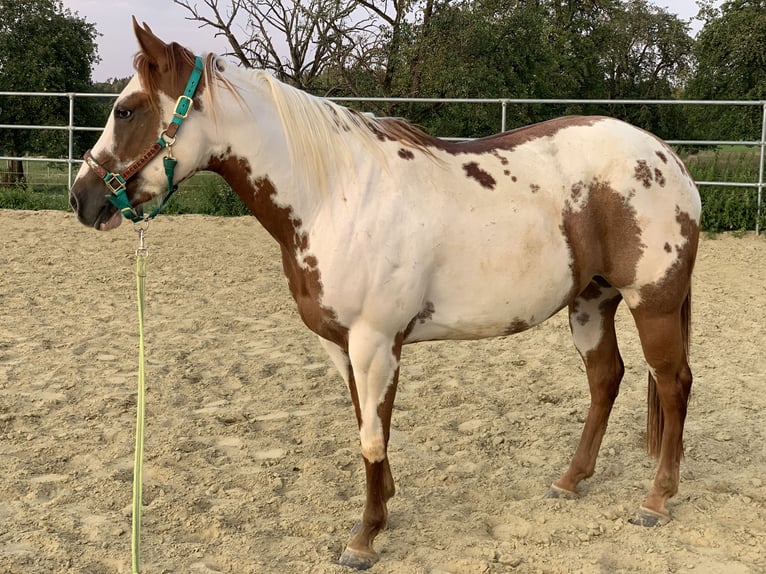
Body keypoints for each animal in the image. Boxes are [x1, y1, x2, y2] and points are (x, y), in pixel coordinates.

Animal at [69, 19, 700, 570]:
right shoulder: (341, 346)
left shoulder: (375, 343)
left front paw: (365, 536)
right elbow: (366, 426)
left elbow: (372, 437)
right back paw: (570, 481)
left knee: (673, 385)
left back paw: (657, 499)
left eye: (126, 110)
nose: (83, 199)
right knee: (606, 380)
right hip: (591, 303)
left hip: (654, 303)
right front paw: (385, 505)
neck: (334, 194)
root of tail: (666, 156)